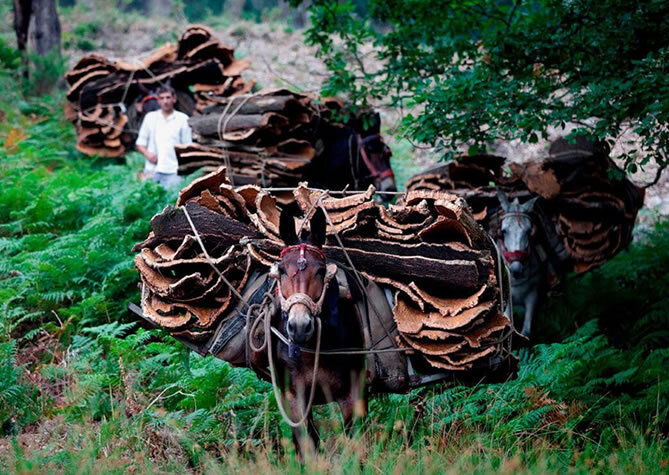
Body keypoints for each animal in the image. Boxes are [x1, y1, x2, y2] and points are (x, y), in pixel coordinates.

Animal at [496, 190, 547, 337]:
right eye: (503, 231)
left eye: (529, 231)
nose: (516, 270)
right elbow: (508, 323)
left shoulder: (533, 294)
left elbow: (526, 330)